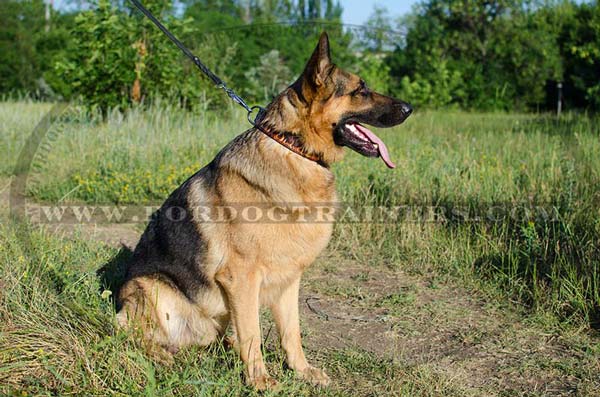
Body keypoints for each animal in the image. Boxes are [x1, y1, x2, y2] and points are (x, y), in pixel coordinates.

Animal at [119, 32, 414, 388]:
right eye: (360, 90)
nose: (410, 108)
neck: (294, 147)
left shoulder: (288, 281)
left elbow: (291, 332)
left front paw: (301, 371)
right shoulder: (241, 279)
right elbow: (253, 334)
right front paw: (259, 381)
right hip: (151, 289)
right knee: (129, 334)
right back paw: (162, 356)